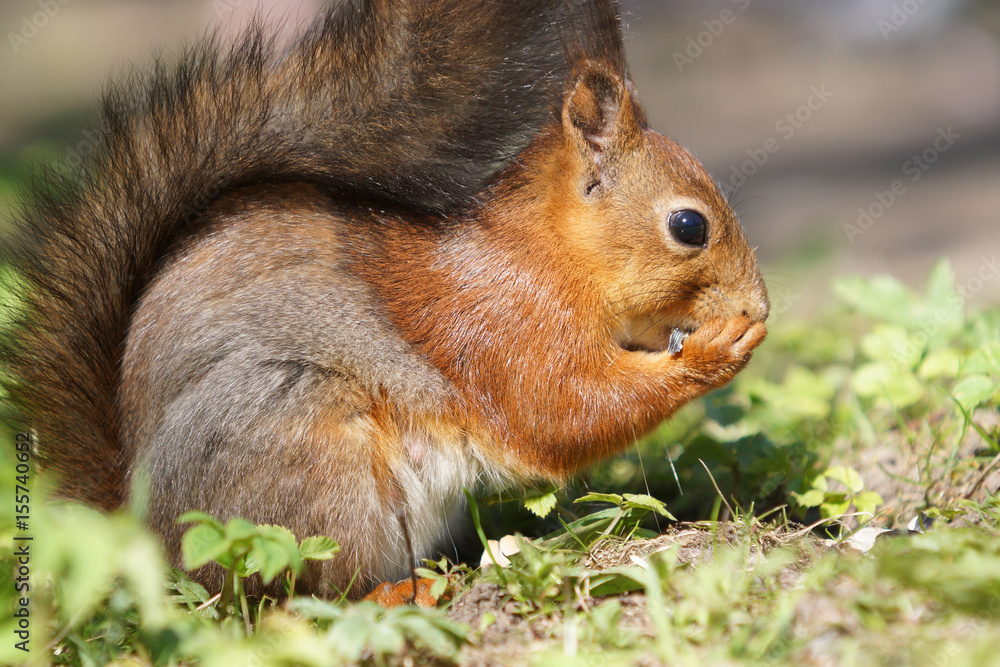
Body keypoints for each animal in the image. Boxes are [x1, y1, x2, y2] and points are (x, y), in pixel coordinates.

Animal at [2, 0, 768, 601]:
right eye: (689, 226)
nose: (759, 307)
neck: (547, 254)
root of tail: (144, 539)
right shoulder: (502, 323)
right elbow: (563, 411)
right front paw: (714, 351)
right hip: (310, 458)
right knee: (300, 592)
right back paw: (406, 592)